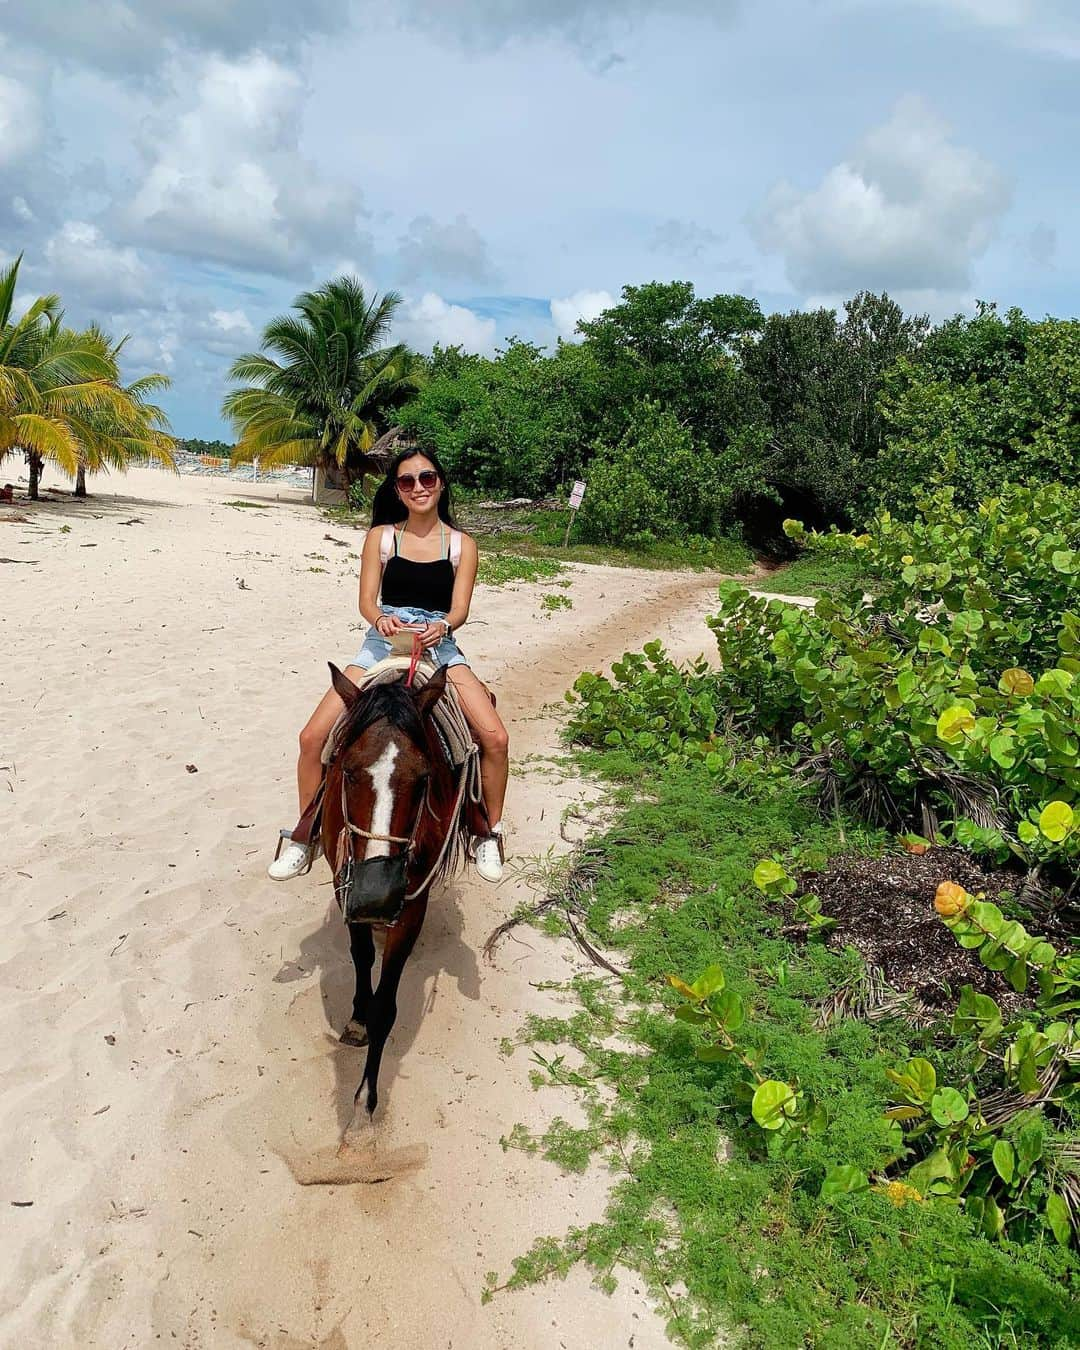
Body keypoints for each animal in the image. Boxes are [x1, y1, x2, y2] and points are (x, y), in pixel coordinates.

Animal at [318, 664, 475, 1139]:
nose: (377, 894)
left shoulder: (410, 905)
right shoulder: (345, 885)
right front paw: (356, 1018)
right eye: (348, 772)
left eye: (423, 778)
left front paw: (363, 1108)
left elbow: (386, 1007)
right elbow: (360, 955)